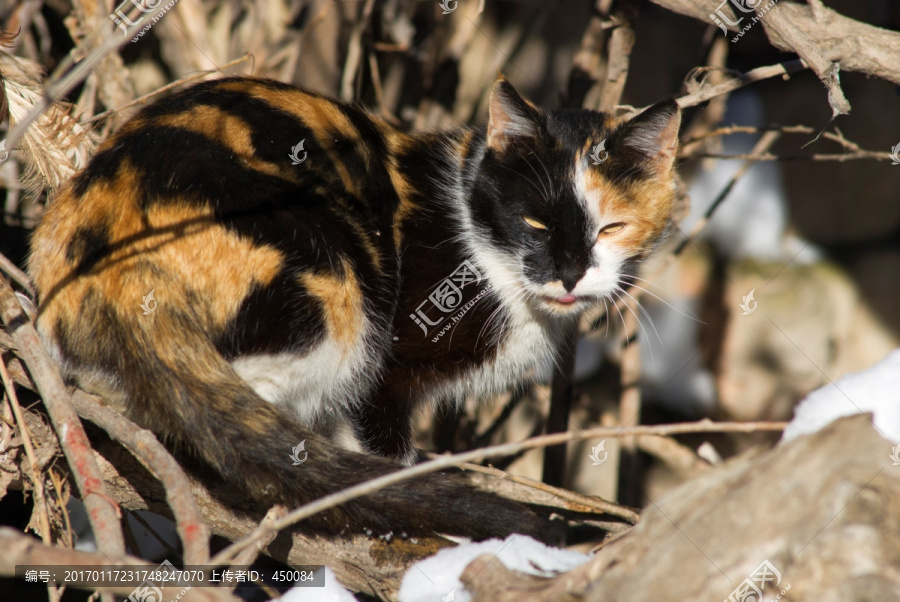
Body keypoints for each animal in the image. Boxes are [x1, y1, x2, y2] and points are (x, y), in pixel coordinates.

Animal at [28, 75, 684, 540]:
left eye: (612, 228)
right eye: (536, 223)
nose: (570, 273)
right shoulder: (391, 368)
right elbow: (380, 442)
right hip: (337, 274)